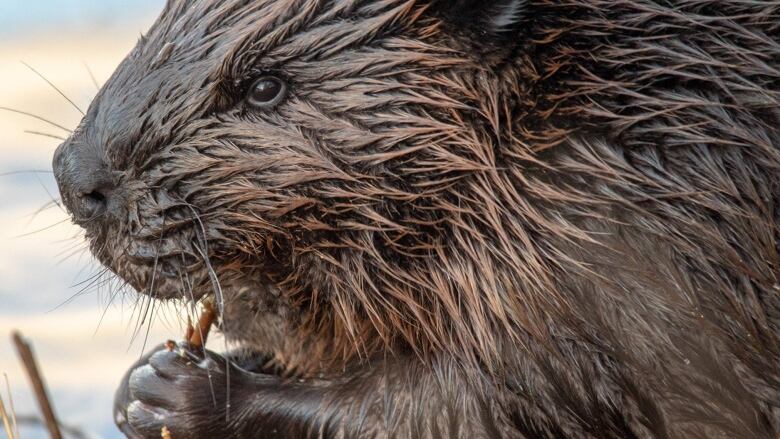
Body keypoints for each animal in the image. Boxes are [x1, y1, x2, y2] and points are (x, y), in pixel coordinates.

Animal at [53, 0, 780, 438]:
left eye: (263, 85)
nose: (74, 178)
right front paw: (136, 382)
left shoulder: (628, 255)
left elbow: (479, 405)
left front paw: (177, 391)